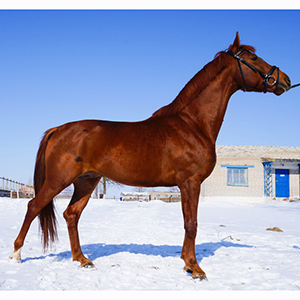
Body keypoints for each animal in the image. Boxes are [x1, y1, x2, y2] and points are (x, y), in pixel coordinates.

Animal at [9, 32, 292, 278]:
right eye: (253, 58)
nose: (286, 80)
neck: (192, 124)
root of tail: (58, 129)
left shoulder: (187, 184)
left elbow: (189, 222)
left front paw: (187, 262)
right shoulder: (190, 182)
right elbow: (191, 223)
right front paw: (195, 268)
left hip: (86, 182)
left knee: (71, 215)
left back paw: (82, 259)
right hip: (59, 180)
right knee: (34, 206)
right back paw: (16, 254)